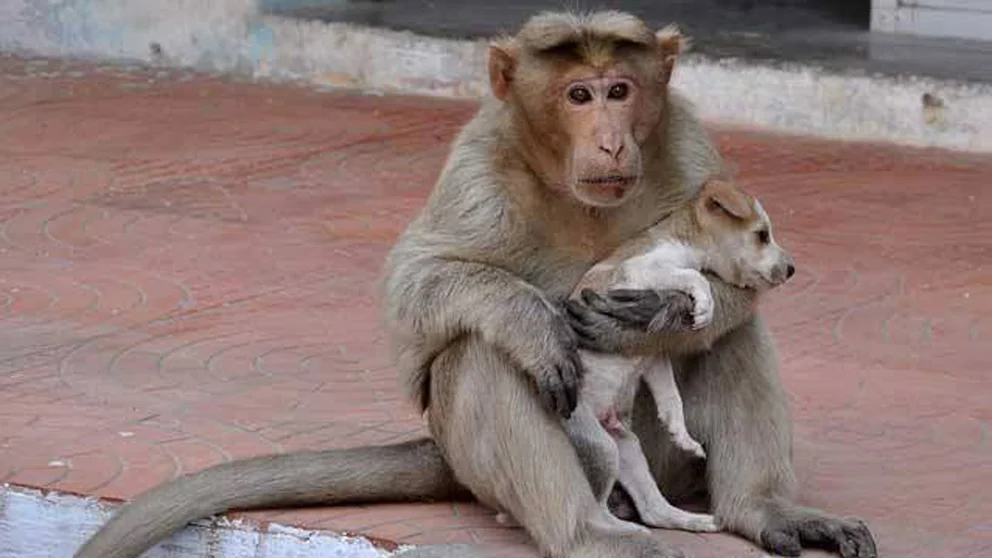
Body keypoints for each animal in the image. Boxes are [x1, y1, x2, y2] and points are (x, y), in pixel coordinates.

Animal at [560, 178, 796, 532]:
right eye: (761, 235)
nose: (792, 269)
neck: (685, 241)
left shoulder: (651, 352)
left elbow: (671, 395)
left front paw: (680, 432)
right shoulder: (640, 269)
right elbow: (693, 276)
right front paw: (705, 306)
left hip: (627, 448)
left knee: (653, 509)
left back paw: (696, 521)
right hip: (600, 446)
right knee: (596, 508)